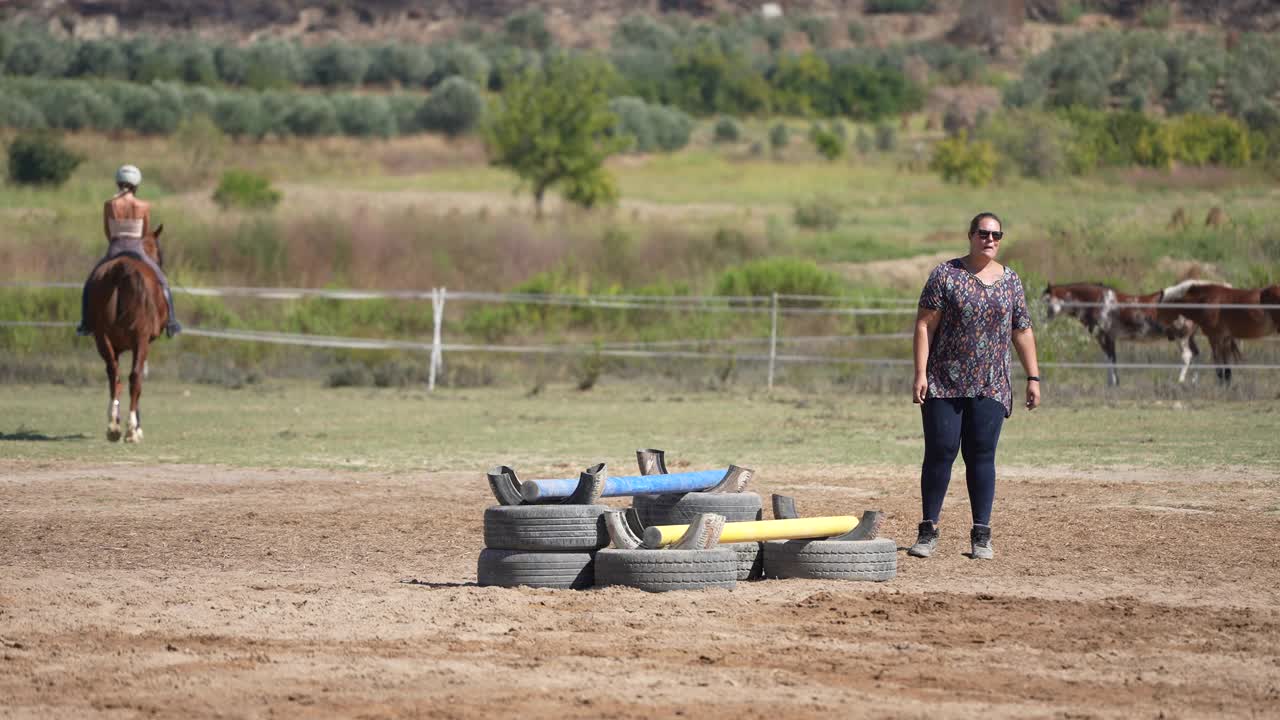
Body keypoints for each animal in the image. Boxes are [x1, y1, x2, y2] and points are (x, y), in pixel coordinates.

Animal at [86, 224, 168, 440]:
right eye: (160, 254)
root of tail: (120, 270)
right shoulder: (143, 343)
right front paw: (137, 427)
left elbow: (117, 382)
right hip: (139, 340)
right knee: (134, 377)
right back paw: (131, 430)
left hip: (102, 339)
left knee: (113, 374)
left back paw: (113, 427)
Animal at [1039, 280, 1198, 384]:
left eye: (1047, 301)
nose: (1041, 319)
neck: (1098, 302)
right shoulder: (1109, 338)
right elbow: (1110, 359)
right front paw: (1113, 383)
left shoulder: (1105, 336)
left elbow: (1110, 359)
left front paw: (1113, 383)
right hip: (1189, 337)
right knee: (1196, 355)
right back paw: (1194, 382)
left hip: (1182, 336)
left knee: (1187, 356)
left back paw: (1180, 381)